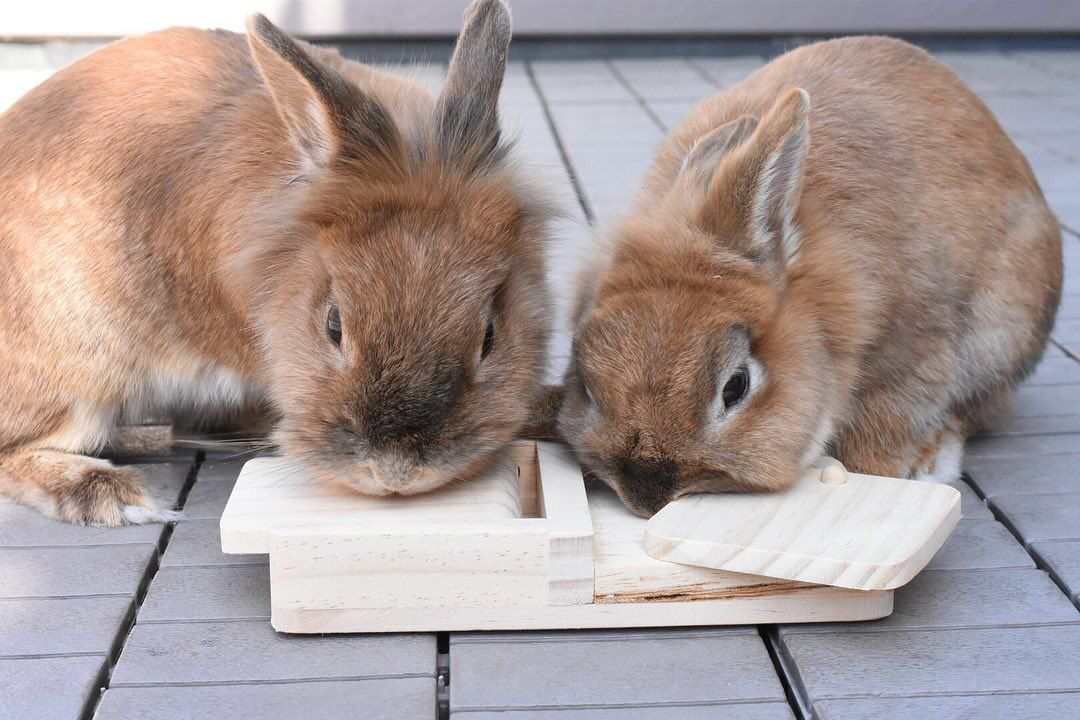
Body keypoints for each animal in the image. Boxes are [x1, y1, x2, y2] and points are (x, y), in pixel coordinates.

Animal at [0, 0, 553, 526]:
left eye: (489, 337)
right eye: (334, 325)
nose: (395, 473)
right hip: (79, 370)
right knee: (15, 451)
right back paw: (109, 495)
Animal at [554, 36, 1062, 517]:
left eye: (736, 386)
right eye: (586, 386)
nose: (646, 495)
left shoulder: (915, 352)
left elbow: (883, 432)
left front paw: (887, 474)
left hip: (999, 340)